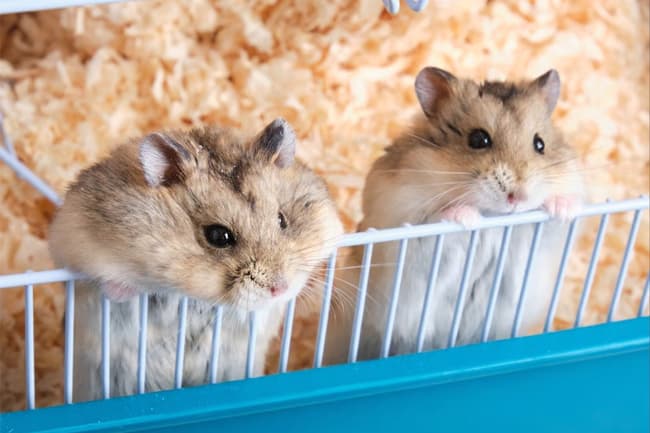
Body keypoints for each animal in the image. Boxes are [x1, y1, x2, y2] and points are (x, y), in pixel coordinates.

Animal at [324, 67, 583, 363]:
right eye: (478, 139)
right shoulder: (408, 228)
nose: (517, 197)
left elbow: (554, 222)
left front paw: (564, 209)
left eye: (540, 144)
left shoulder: (543, 239)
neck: (495, 217)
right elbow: (438, 219)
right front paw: (467, 218)